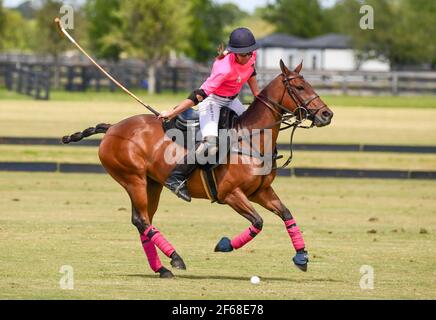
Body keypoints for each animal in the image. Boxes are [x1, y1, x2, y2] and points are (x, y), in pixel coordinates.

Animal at [63, 60, 332, 278]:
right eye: (299, 88)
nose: (327, 114)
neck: (250, 139)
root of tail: (111, 128)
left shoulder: (261, 191)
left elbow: (286, 214)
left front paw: (302, 257)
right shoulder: (230, 194)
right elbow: (258, 222)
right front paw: (224, 245)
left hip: (152, 183)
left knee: (143, 221)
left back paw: (162, 268)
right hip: (133, 179)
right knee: (141, 220)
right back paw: (175, 258)